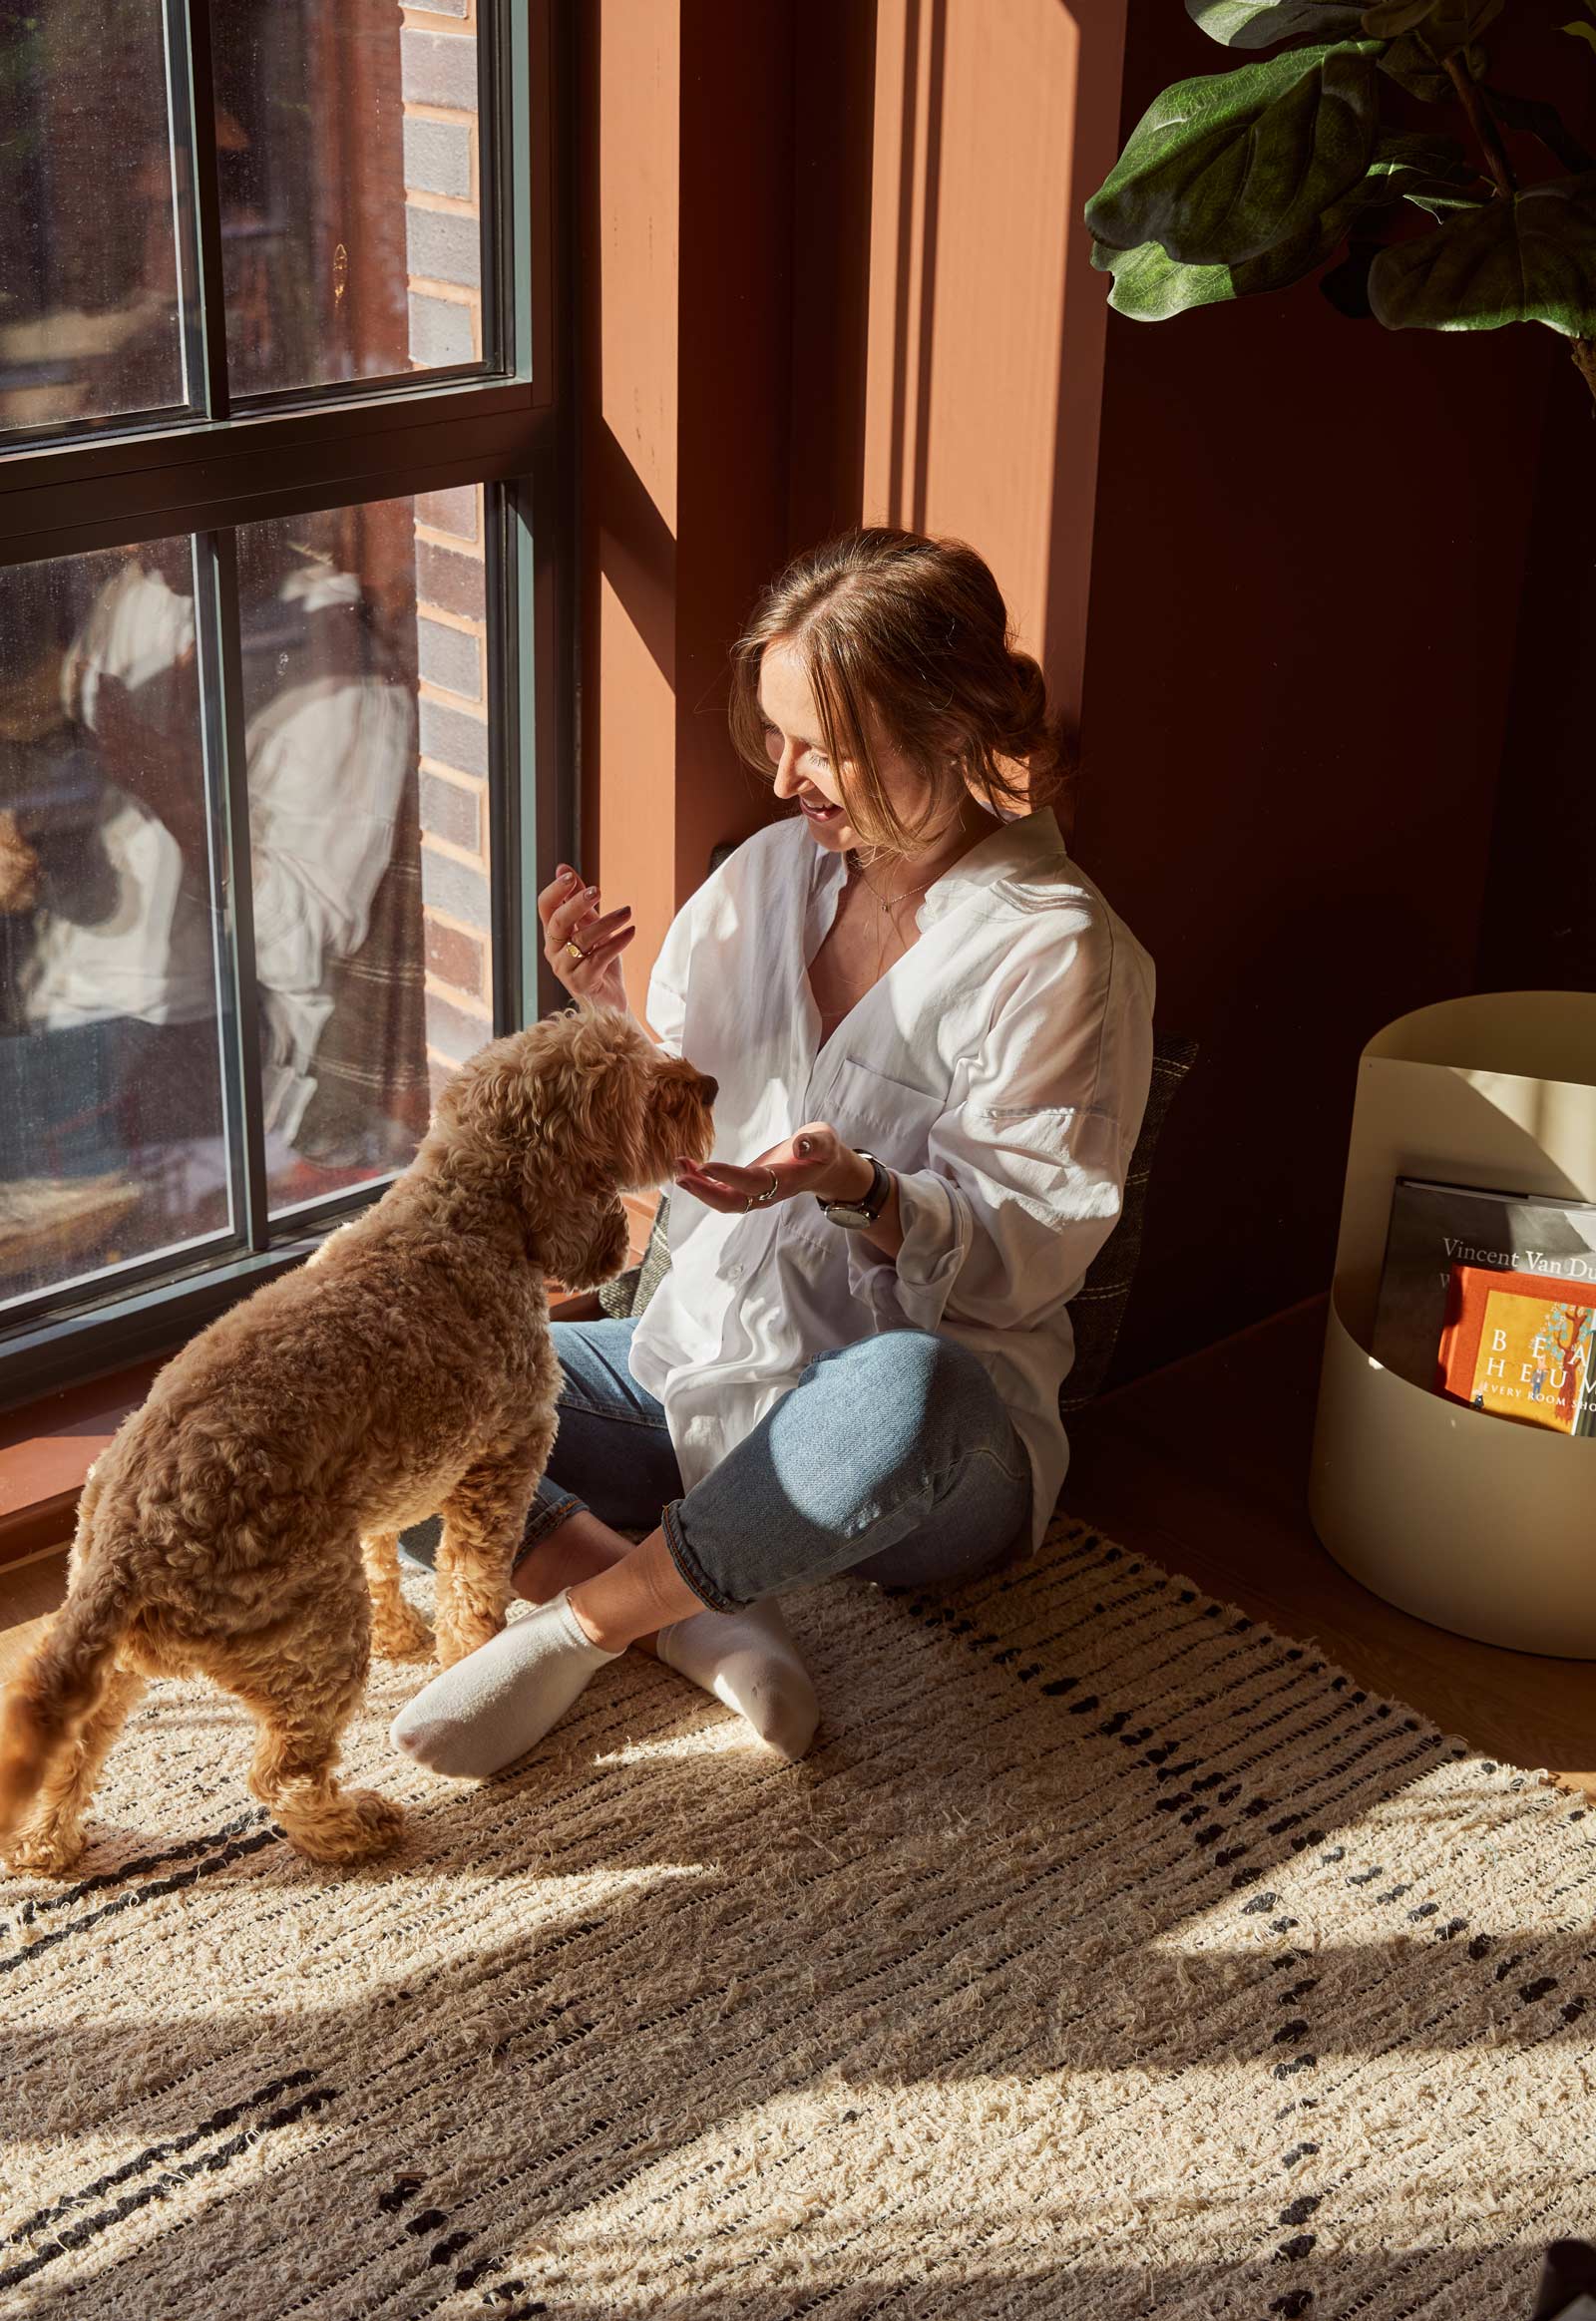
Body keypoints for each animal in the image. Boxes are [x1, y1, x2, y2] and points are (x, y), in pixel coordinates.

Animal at [0, 1006, 718, 1875]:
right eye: (631, 1079)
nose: (708, 1083)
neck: (464, 1212)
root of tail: (123, 1553)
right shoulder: (504, 1460)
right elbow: (472, 1587)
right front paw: (468, 1665)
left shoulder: (387, 1484)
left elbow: (383, 1555)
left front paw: (407, 1632)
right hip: (316, 1638)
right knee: (280, 1773)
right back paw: (352, 1831)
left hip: (136, 1659)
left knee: (79, 1744)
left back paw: (44, 1841)